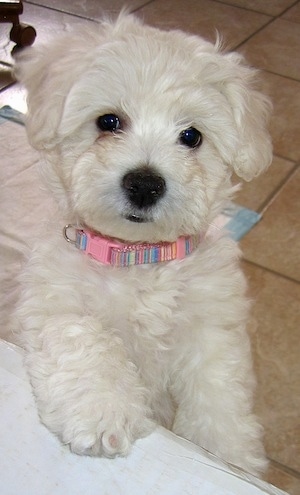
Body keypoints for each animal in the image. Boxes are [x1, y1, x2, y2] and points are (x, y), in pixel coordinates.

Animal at [14, 12, 272, 476]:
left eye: (191, 136)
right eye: (108, 122)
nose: (144, 184)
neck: (138, 257)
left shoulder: (212, 326)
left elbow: (219, 389)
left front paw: (229, 455)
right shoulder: (52, 301)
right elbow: (82, 335)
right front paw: (102, 412)